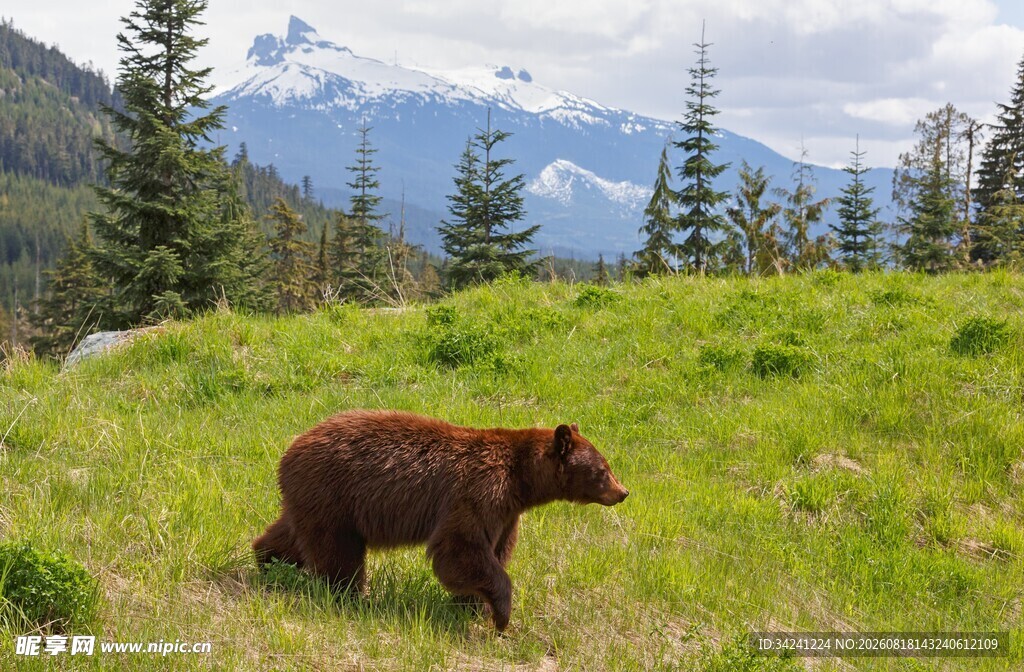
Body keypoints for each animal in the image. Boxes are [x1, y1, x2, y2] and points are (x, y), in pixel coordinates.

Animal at [252, 409, 628, 631]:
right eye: (602, 470)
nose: (623, 492)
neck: (521, 481)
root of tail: (290, 450)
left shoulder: (507, 513)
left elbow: (494, 551)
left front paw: (473, 607)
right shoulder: (479, 491)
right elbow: (460, 547)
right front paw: (500, 614)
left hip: (312, 499)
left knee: (291, 534)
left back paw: (267, 561)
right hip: (335, 496)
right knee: (337, 553)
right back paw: (350, 596)